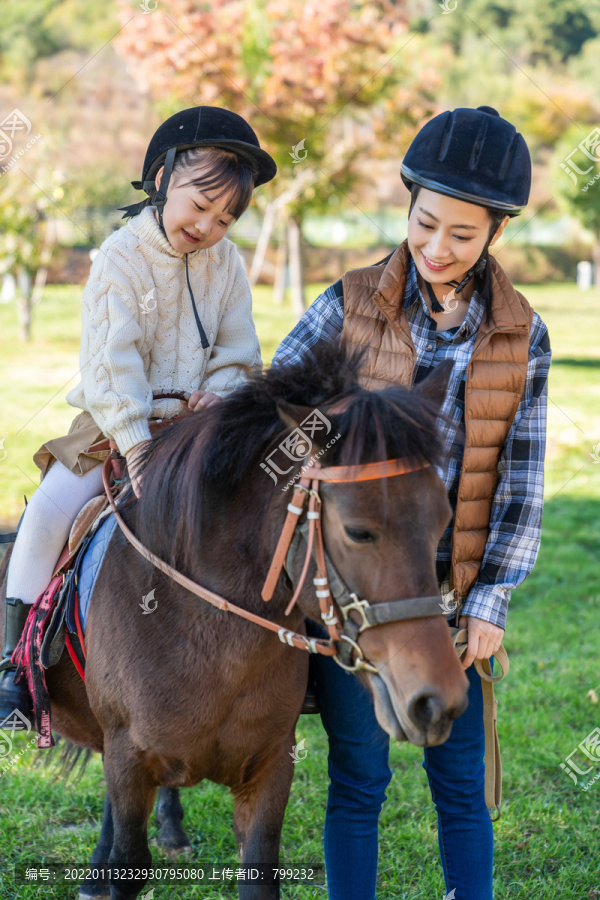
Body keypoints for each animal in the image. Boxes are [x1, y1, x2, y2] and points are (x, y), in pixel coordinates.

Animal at [0, 342, 468, 896]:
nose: (438, 698)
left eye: (442, 520)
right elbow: (129, 861)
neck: (210, 641)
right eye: (358, 531)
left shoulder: (270, 766)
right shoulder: (127, 756)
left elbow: (259, 872)